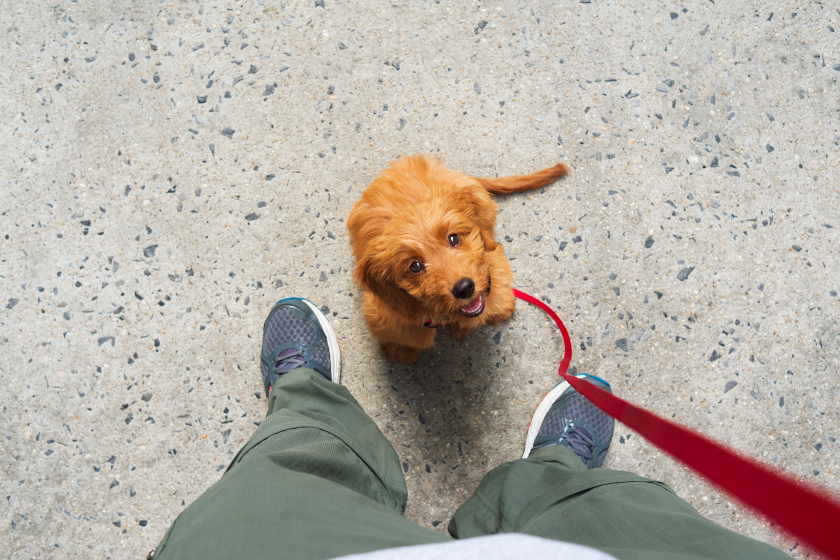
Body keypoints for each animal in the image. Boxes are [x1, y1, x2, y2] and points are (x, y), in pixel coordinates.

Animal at [344, 155, 568, 366]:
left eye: (454, 238)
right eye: (415, 266)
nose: (464, 288)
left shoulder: (491, 264)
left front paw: (500, 307)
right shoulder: (387, 314)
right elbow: (402, 336)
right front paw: (402, 351)